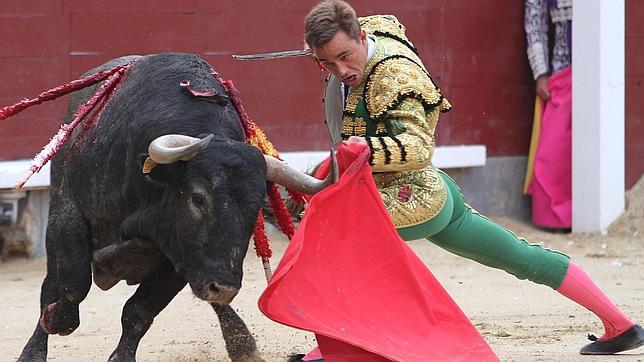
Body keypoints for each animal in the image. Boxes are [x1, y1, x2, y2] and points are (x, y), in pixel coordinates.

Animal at [16, 51, 338, 362]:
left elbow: (139, 311)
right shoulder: (69, 216)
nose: (225, 289)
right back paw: (32, 351)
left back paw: (242, 343)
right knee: (51, 283)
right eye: (197, 198)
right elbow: (72, 286)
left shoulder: (175, 255)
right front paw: (53, 321)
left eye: (254, 207)